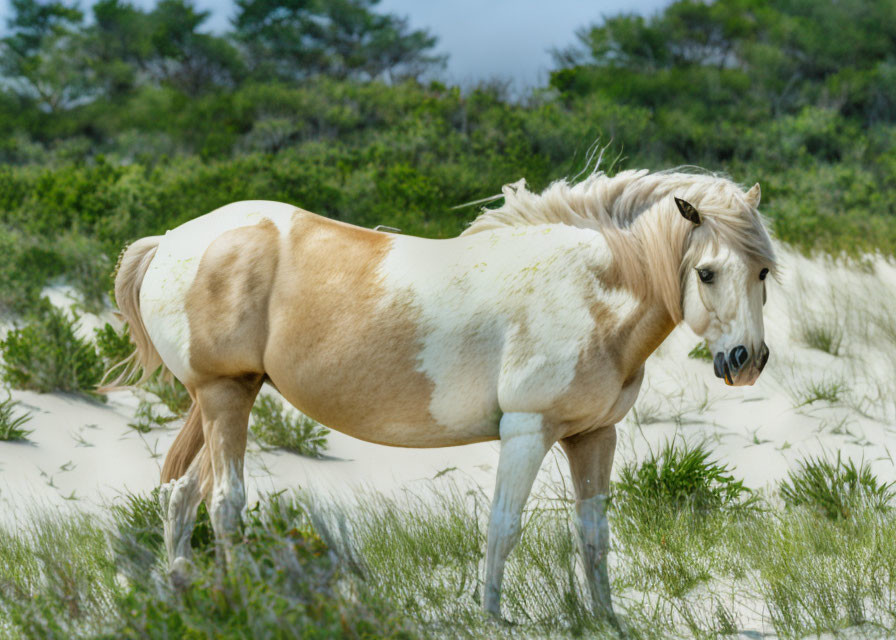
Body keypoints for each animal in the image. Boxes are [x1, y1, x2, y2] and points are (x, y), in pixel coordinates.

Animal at [105, 168, 776, 624]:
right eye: (707, 273)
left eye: (763, 271)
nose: (746, 362)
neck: (585, 289)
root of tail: (170, 240)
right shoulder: (527, 431)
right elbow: (503, 525)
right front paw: (491, 617)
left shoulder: (592, 437)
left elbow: (594, 535)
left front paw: (606, 620)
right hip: (225, 397)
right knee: (225, 503)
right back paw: (240, 602)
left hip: (226, 400)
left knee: (182, 496)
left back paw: (191, 596)